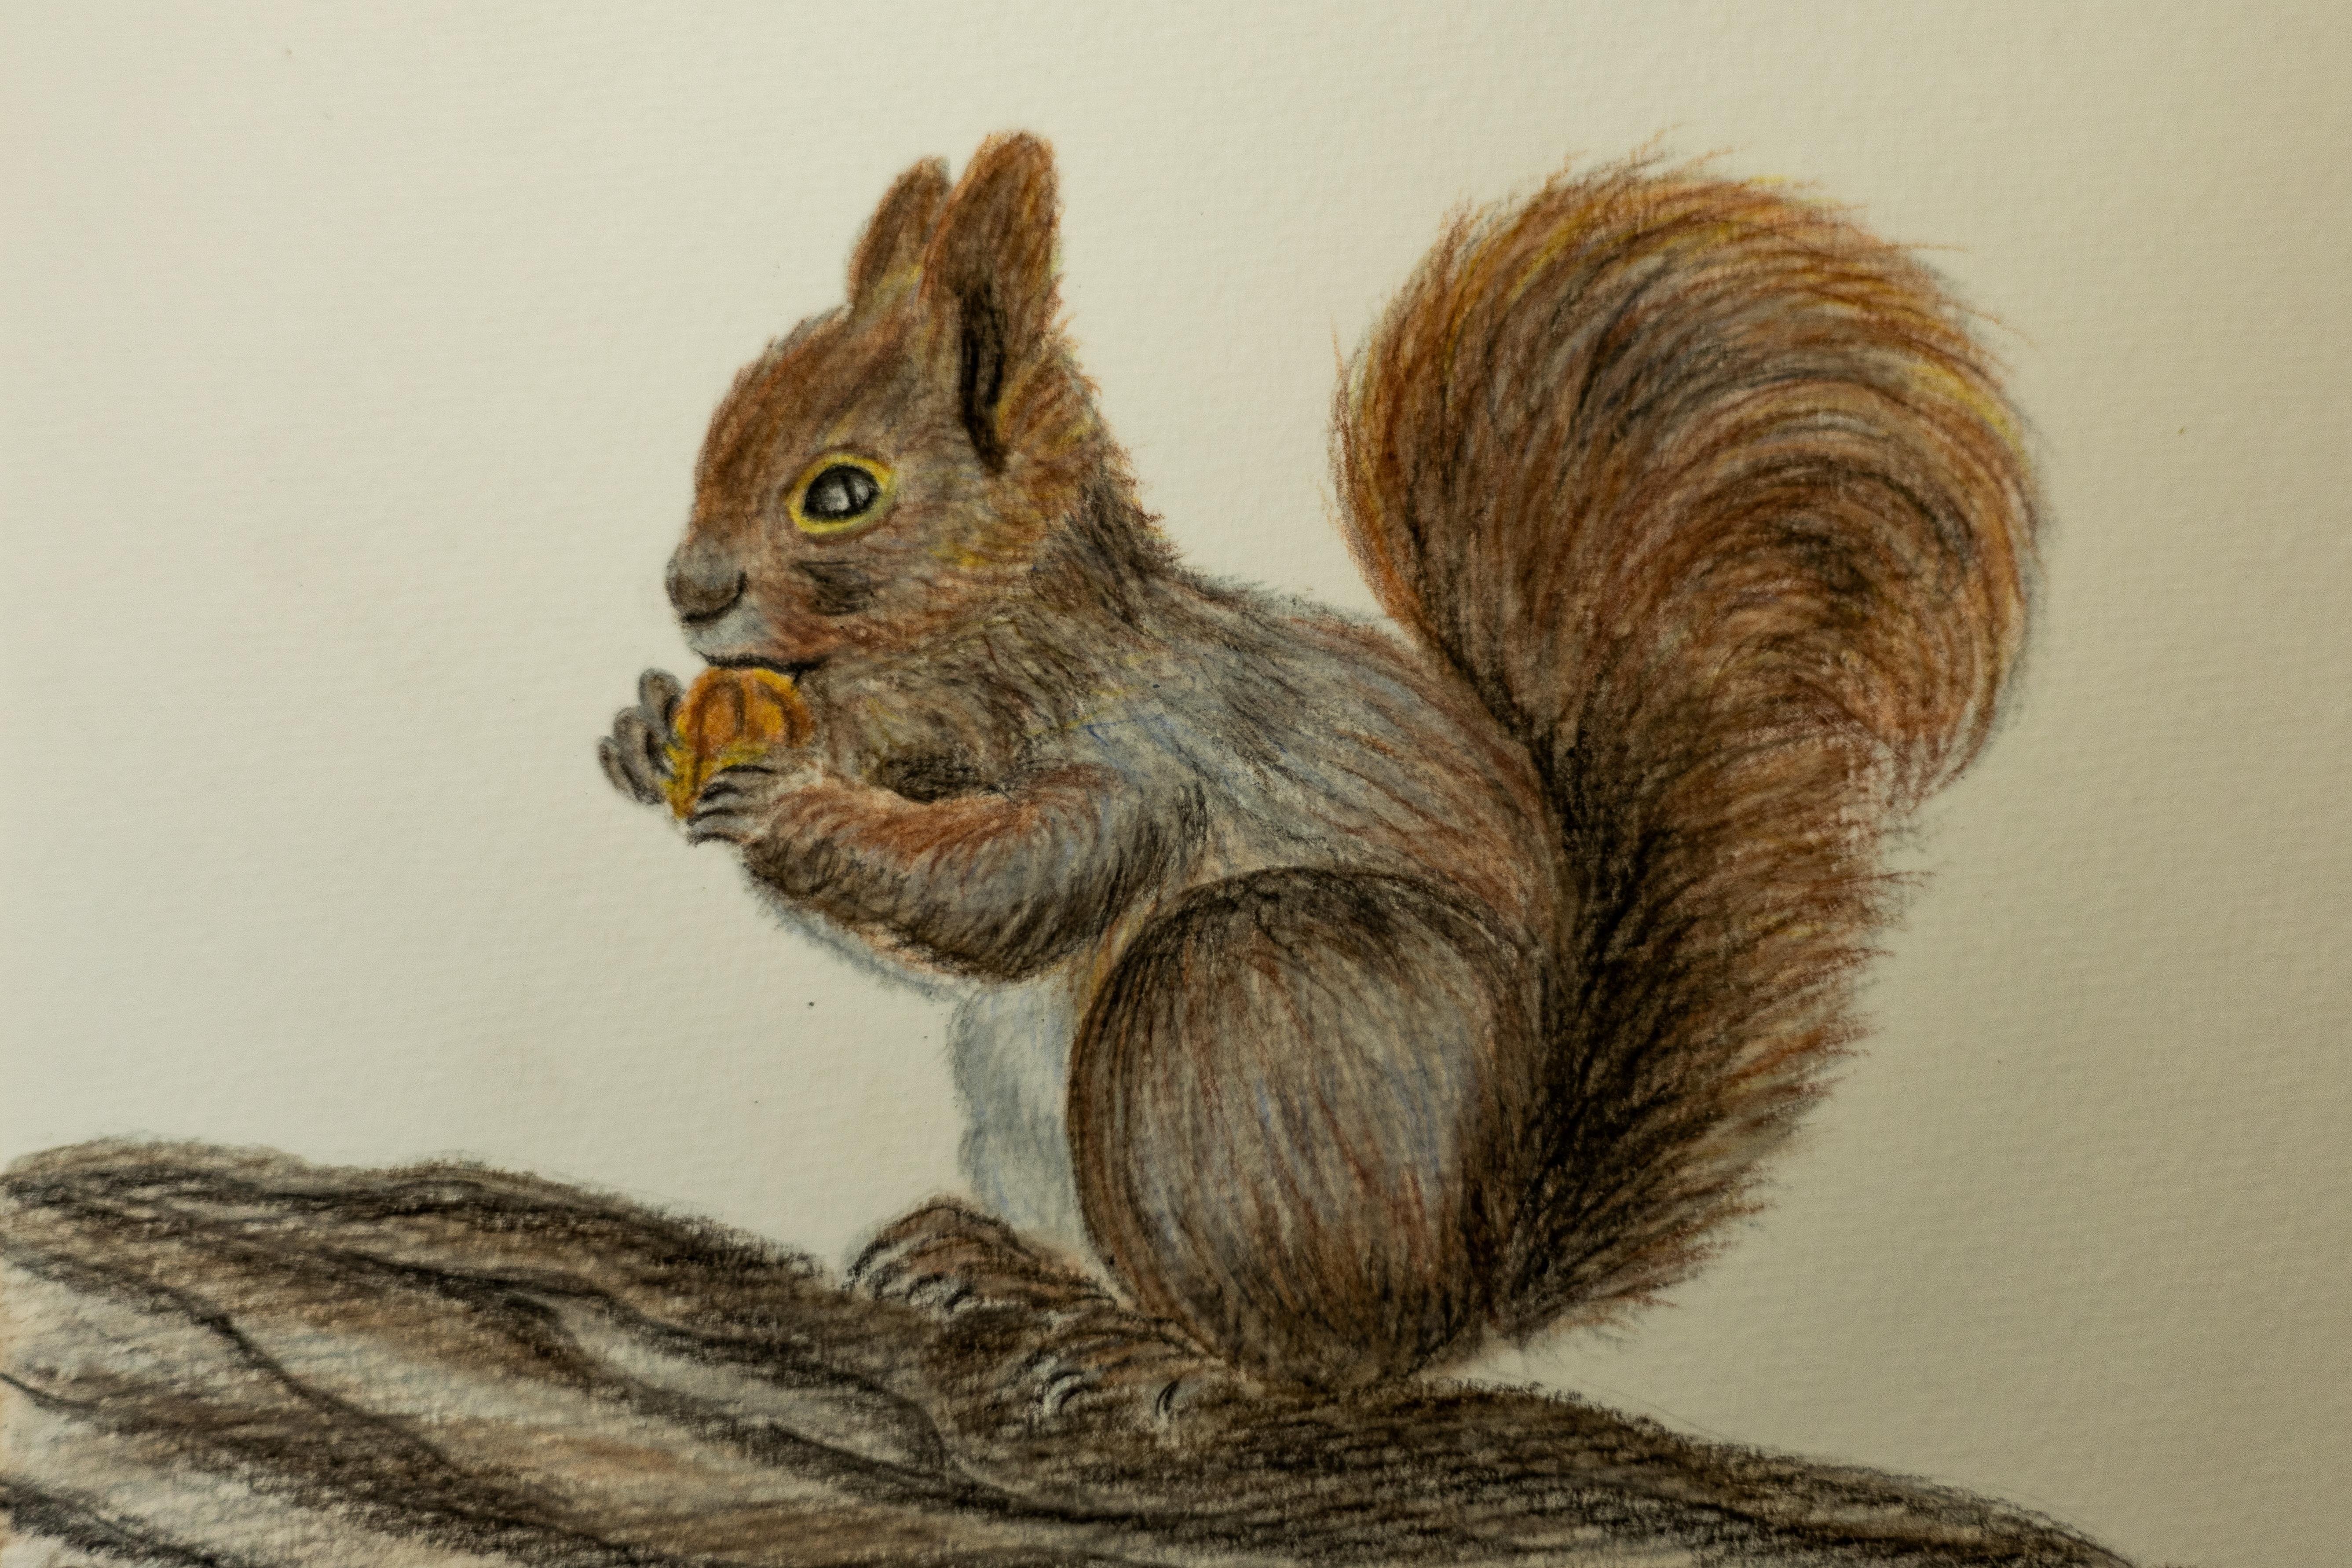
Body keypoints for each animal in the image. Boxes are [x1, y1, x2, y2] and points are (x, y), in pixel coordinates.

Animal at [597, 133, 2034, 1392]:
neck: (966, 654)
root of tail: (1474, 1283)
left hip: (1242, 1010)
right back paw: (1012, 1268)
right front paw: (650, 733)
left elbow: (1007, 887)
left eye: (841, 494)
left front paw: (786, 805)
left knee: (1312, 1361)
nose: (687, 589)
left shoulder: (1144, 762)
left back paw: (1157, 1353)